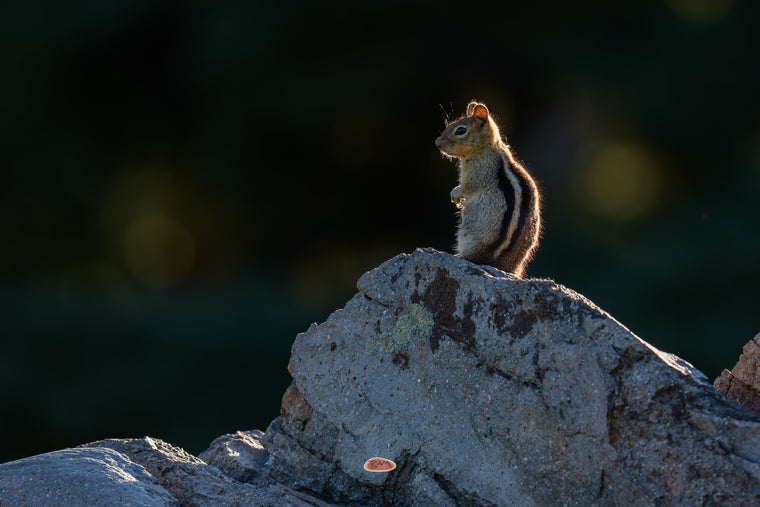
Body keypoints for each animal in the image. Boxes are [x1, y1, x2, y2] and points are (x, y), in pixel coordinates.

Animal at [435, 101, 541, 278]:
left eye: (460, 130)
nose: (437, 143)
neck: (488, 147)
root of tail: (498, 264)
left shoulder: (476, 174)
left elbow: (466, 188)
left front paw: (455, 195)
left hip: (466, 237)